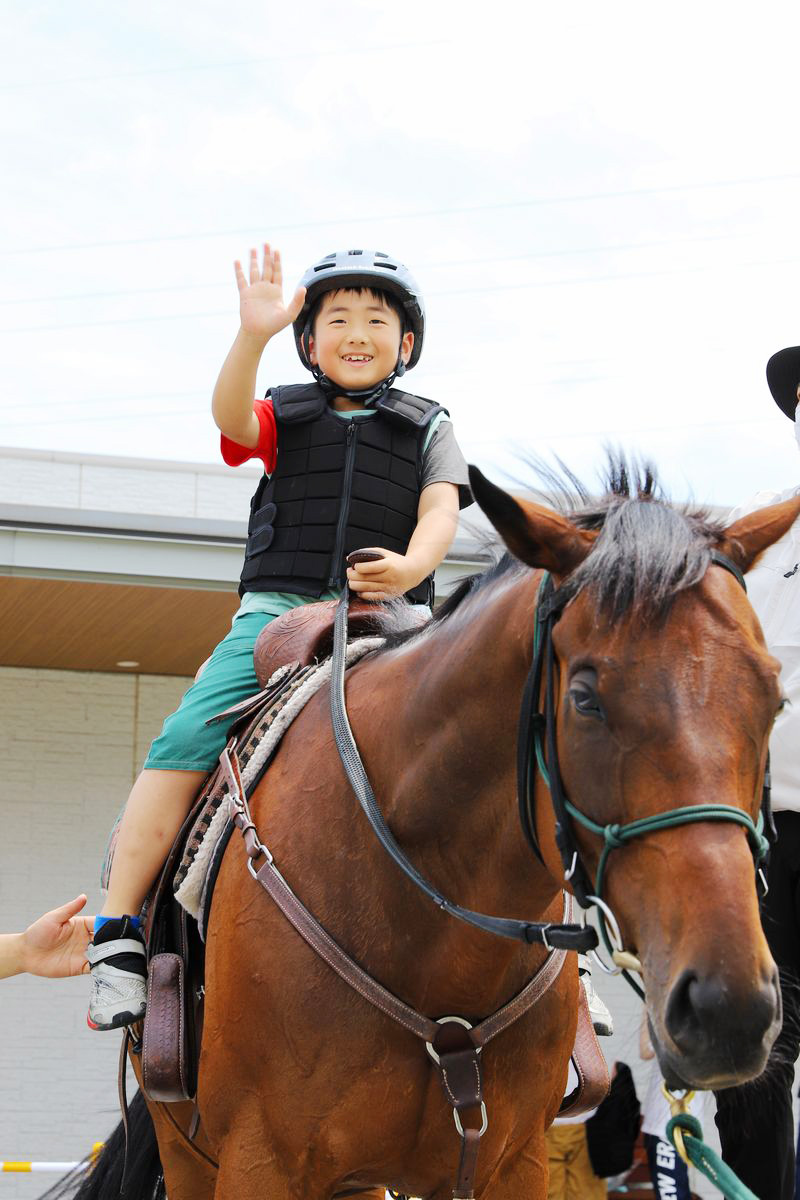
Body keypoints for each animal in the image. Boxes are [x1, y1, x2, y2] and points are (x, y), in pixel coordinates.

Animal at [48, 460, 800, 1200]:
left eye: (774, 698)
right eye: (585, 697)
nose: (728, 1009)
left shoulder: (511, 1161)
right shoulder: (260, 1160)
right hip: (189, 1148)